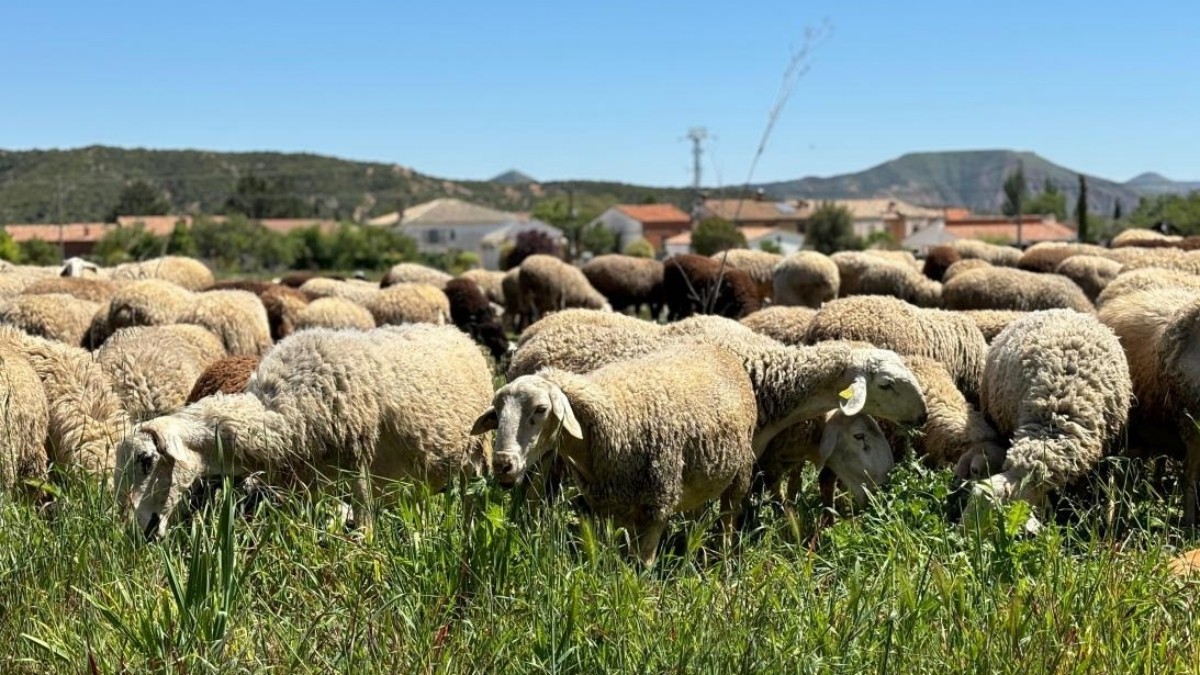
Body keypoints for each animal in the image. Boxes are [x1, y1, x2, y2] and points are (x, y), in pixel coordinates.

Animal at [116, 324, 494, 539]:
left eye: (147, 461)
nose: (138, 531)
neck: (278, 410)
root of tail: (458, 334)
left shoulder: (358, 463)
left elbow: (366, 529)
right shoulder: (307, 486)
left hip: (476, 456)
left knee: (472, 502)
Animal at [473, 344, 757, 565]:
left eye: (541, 409)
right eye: (497, 412)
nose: (503, 464)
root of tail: (720, 350)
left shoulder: (658, 502)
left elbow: (643, 564)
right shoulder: (614, 506)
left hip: (741, 472)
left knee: (728, 521)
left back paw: (723, 562)